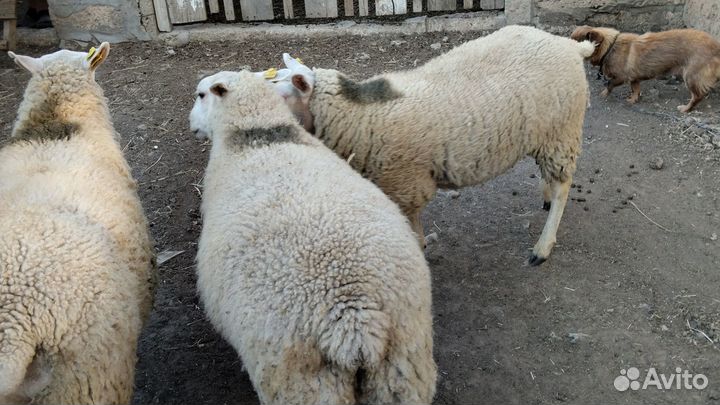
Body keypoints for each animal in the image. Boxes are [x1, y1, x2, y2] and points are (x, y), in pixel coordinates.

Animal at [189, 70, 437, 405]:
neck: (259, 134)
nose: (191, 124)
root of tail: (354, 322)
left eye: (201, 95)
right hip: (402, 369)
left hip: (303, 382)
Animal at [268, 25, 595, 266]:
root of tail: (569, 45)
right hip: (547, 133)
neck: (360, 111)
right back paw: (546, 196)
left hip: (563, 131)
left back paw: (543, 246)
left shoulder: (407, 185)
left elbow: (414, 230)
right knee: (549, 176)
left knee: (563, 186)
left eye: (282, 95)